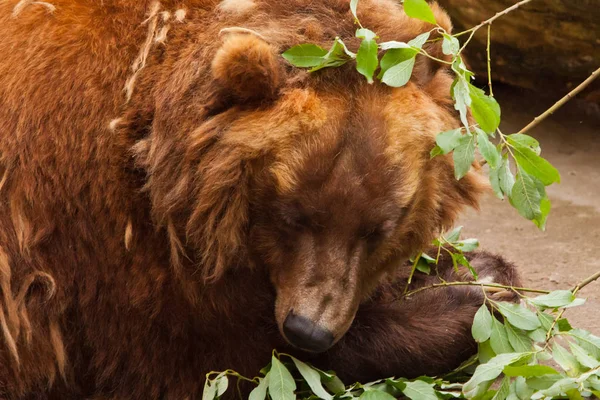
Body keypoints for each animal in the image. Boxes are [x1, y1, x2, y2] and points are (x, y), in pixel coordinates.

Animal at [0, 0, 520, 398]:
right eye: (292, 216)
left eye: (379, 228)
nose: (309, 329)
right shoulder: (98, 237)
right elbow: (211, 357)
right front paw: (469, 294)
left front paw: (474, 269)